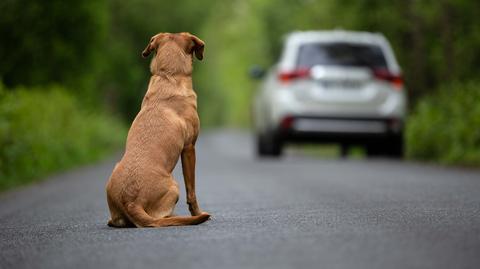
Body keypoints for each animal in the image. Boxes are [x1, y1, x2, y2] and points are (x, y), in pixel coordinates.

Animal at [105, 32, 210, 227]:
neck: (168, 76)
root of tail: (131, 202)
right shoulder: (189, 148)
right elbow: (191, 190)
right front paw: (197, 213)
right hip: (174, 186)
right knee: (161, 218)